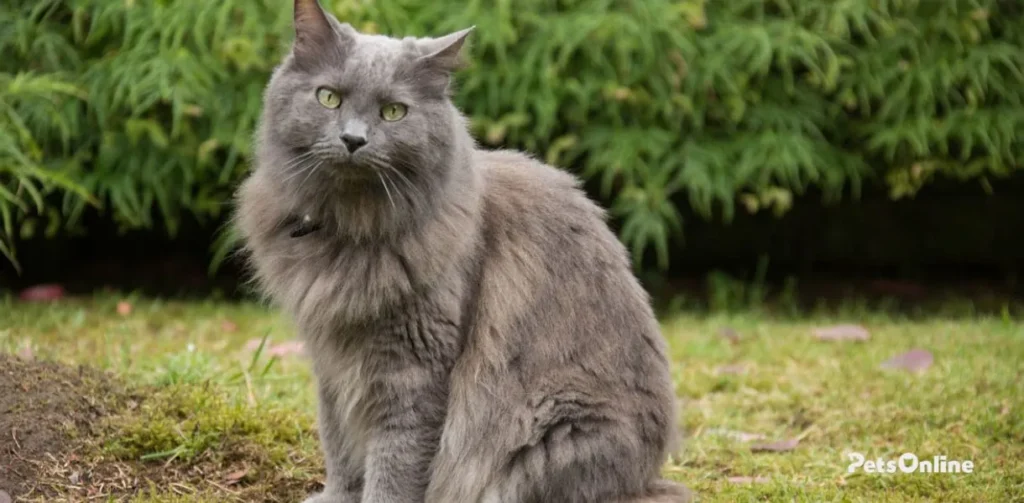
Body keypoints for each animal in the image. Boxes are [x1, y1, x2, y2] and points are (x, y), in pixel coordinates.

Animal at [235, 1, 692, 501]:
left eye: (393, 111)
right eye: (329, 98)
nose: (354, 140)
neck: (350, 230)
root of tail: (645, 480)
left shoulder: (414, 368)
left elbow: (393, 464)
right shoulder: (331, 362)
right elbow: (338, 445)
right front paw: (336, 497)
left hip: (551, 430)